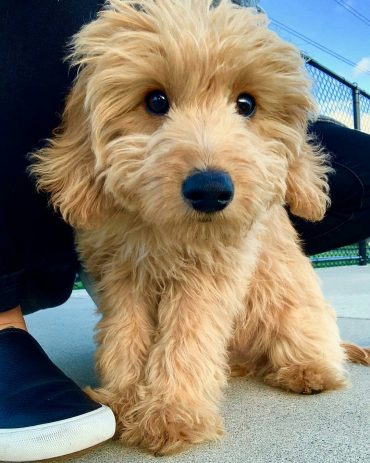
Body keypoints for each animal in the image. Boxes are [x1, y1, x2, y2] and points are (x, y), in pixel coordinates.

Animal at [29, 0, 370, 456]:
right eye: (156, 101)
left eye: (246, 104)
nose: (210, 190)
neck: (165, 231)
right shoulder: (120, 274)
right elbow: (124, 335)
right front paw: (122, 398)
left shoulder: (208, 278)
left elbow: (186, 339)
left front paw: (170, 412)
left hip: (294, 310)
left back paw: (307, 370)